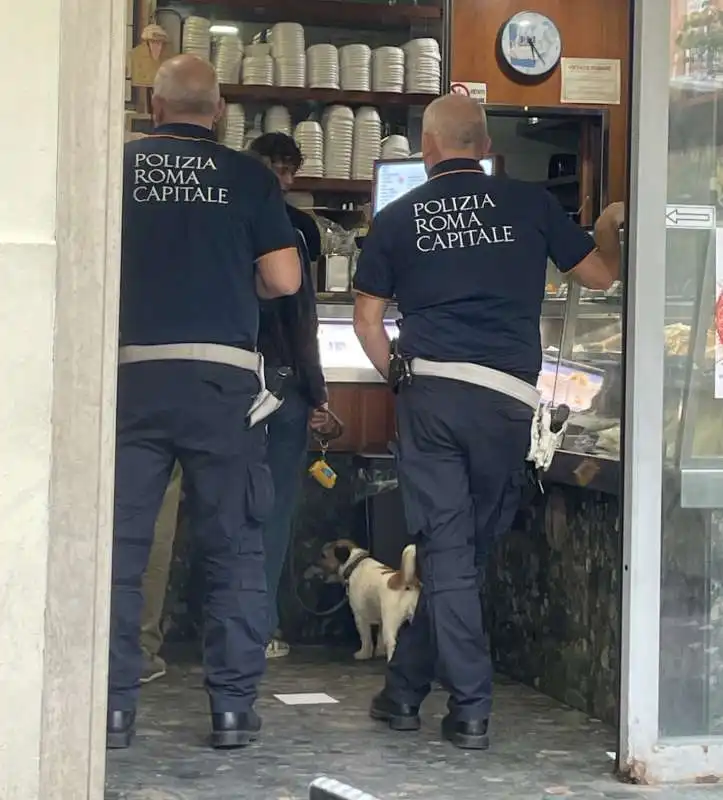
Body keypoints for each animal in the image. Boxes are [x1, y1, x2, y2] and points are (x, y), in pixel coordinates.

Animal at [320, 536, 422, 664]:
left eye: (324, 556)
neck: (354, 564)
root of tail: (405, 580)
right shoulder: (381, 619)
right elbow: (379, 637)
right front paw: (379, 652)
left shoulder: (360, 617)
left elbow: (366, 638)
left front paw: (364, 654)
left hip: (390, 623)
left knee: (391, 643)